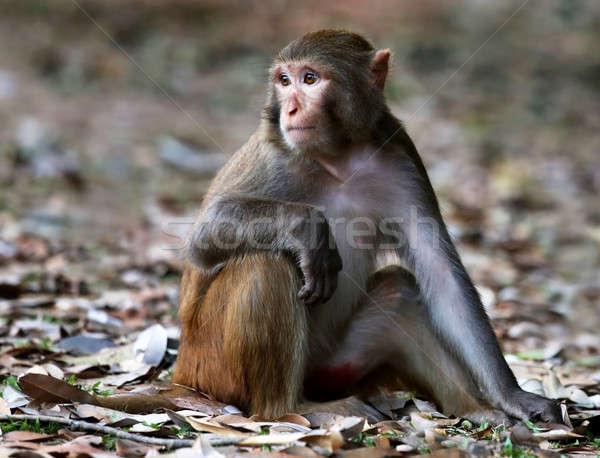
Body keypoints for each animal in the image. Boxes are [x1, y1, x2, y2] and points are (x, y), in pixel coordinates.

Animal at [172, 29, 556, 426]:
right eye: (284, 81)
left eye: (310, 79)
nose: (290, 109)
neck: (338, 158)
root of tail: (183, 369)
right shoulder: (275, 157)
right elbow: (204, 237)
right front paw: (308, 228)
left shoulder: (400, 156)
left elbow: (441, 274)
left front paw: (512, 396)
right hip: (214, 365)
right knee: (266, 263)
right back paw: (289, 409)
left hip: (332, 364)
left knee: (401, 293)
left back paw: (474, 409)